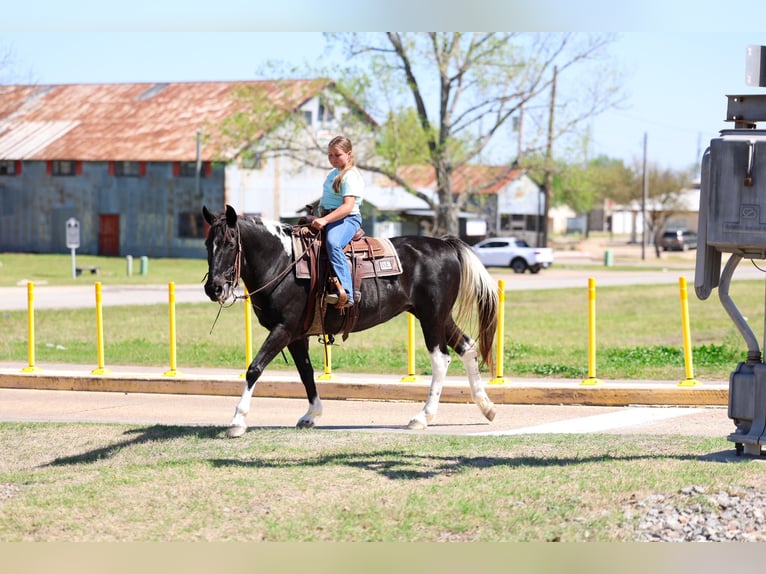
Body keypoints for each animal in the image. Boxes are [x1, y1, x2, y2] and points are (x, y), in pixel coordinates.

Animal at [202, 204, 499, 437]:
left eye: (229, 244)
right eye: (207, 244)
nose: (213, 288)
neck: (283, 261)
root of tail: (445, 244)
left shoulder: (283, 329)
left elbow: (254, 368)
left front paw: (237, 421)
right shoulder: (297, 335)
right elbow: (306, 372)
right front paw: (311, 414)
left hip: (432, 317)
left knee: (441, 359)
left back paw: (422, 417)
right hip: (439, 317)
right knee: (467, 347)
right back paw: (487, 407)